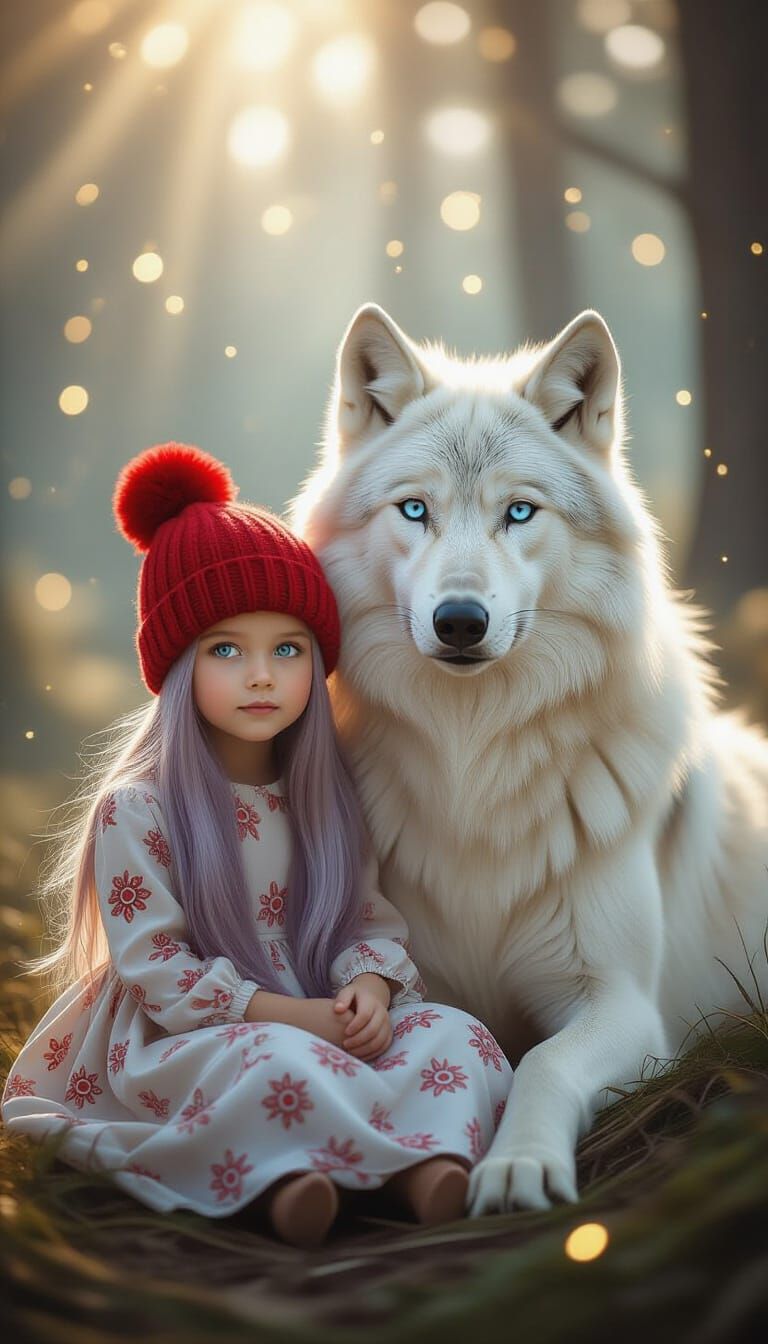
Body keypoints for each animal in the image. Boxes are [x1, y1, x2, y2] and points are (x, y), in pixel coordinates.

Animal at [289, 303, 768, 1214]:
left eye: (519, 513)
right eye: (414, 510)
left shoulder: (625, 1005)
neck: (471, 763)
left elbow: (542, 1062)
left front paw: (518, 1167)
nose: (460, 620)